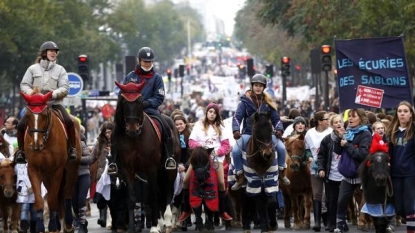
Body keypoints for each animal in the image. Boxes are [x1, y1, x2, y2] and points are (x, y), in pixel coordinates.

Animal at [20, 91, 81, 233]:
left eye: (44, 114)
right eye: (28, 115)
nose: (35, 144)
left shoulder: (57, 171)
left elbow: (53, 200)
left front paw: (52, 226)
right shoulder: (34, 170)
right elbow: (39, 200)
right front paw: (41, 227)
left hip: (71, 169)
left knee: (67, 194)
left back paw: (68, 225)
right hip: (46, 176)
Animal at [112, 81, 180, 232]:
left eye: (139, 101)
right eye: (123, 101)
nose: (132, 128)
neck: (135, 139)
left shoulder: (151, 168)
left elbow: (152, 196)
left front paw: (154, 227)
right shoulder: (129, 170)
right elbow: (132, 199)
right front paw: (132, 228)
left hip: (169, 170)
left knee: (167, 190)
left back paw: (167, 221)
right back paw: (161, 222)